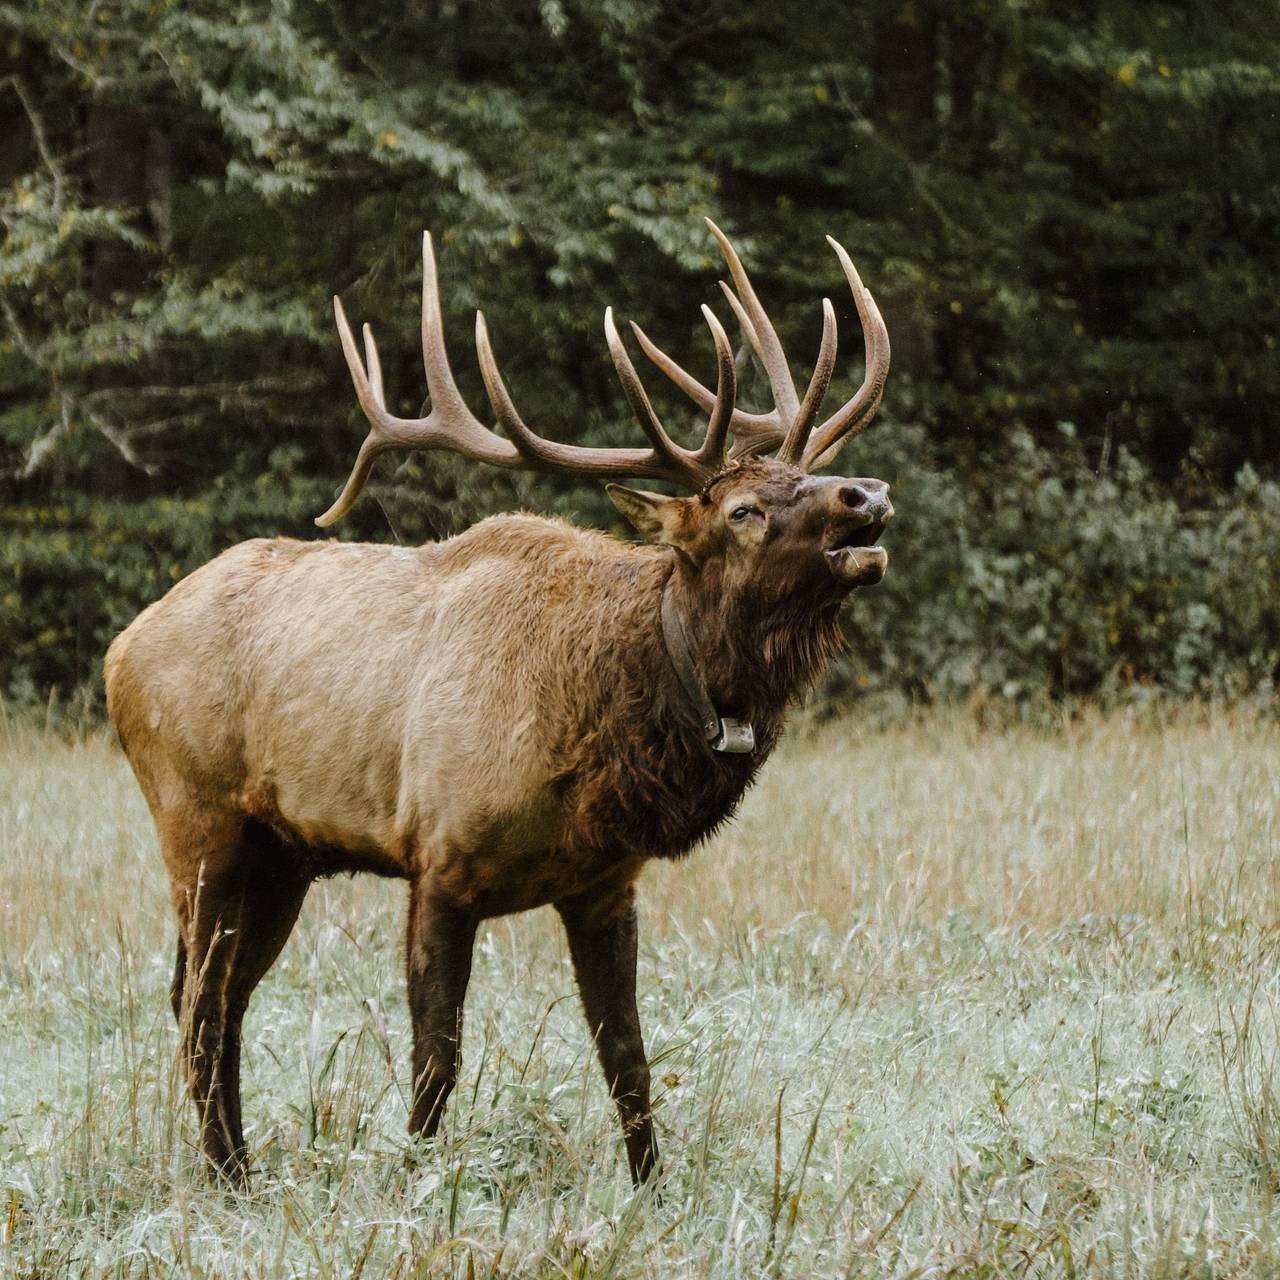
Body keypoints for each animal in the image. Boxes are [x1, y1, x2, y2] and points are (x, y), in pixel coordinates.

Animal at [104, 220, 890, 1187]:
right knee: (202, 1005)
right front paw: (418, 1181)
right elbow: (436, 1060)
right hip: (197, 820)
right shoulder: (439, 855)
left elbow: (628, 1060)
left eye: (806, 476)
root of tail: (120, 651)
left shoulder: (605, 884)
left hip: (280, 855)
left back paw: (241, 1169)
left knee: (215, 996)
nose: (867, 494)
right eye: (743, 509)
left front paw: (652, 1188)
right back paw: (226, 1175)